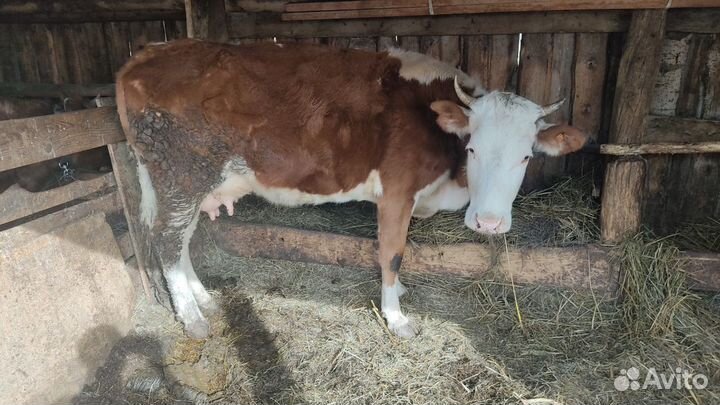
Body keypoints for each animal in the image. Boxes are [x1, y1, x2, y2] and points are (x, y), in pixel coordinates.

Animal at [116, 39, 587, 339]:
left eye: (526, 156)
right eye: (472, 147)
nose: (488, 223)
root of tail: (145, 55)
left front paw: (397, 295)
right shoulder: (397, 191)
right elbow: (392, 252)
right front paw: (396, 318)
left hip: (184, 181)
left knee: (179, 240)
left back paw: (202, 298)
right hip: (180, 173)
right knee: (167, 239)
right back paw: (192, 319)